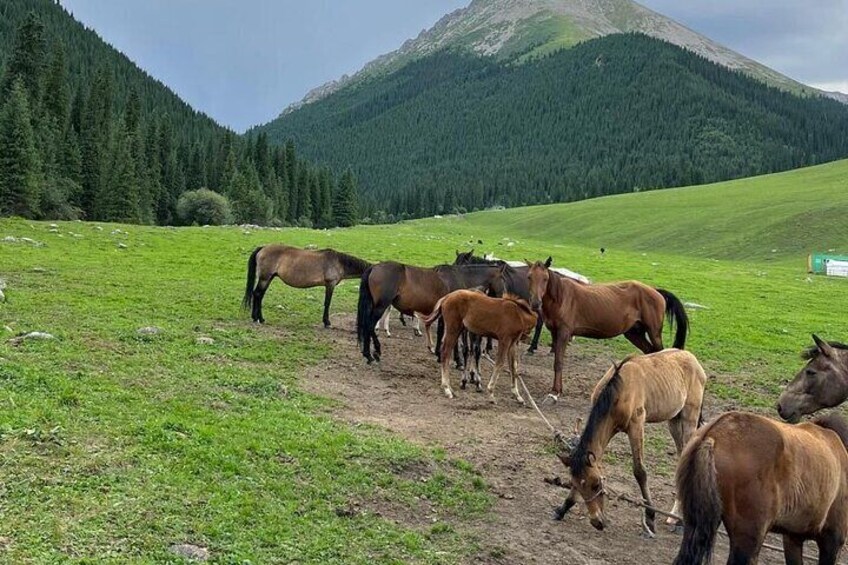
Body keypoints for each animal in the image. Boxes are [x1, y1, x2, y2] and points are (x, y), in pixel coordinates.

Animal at [356, 262, 508, 363]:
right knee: (370, 326)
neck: (461, 279)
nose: (503, 296)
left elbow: (441, 332)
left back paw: (367, 353)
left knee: (367, 326)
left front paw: (437, 353)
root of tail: (374, 267)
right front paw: (456, 360)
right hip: (381, 306)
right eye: (503, 279)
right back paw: (374, 353)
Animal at [526, 259, 689, 401]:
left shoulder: (564, 333)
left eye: (545, 279)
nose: (535, 303)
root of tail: (656, 292)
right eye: (529, 277)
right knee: (649, 352)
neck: (562, 298)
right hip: (634, 334)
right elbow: (556, 361)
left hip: (654, 333)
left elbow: (559, 362)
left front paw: (555, 392)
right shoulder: (555, 333)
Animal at [554, 350, 706, 536]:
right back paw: (675, 516)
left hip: (689, 417)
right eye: (574, 484)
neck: (618, 390)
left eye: (597, 484)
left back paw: (680, 520)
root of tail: (692, 358)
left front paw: (650, 518)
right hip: (674, 421)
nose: (597, 522)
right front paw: (563, 508)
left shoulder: (636, 425)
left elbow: (639, 471)